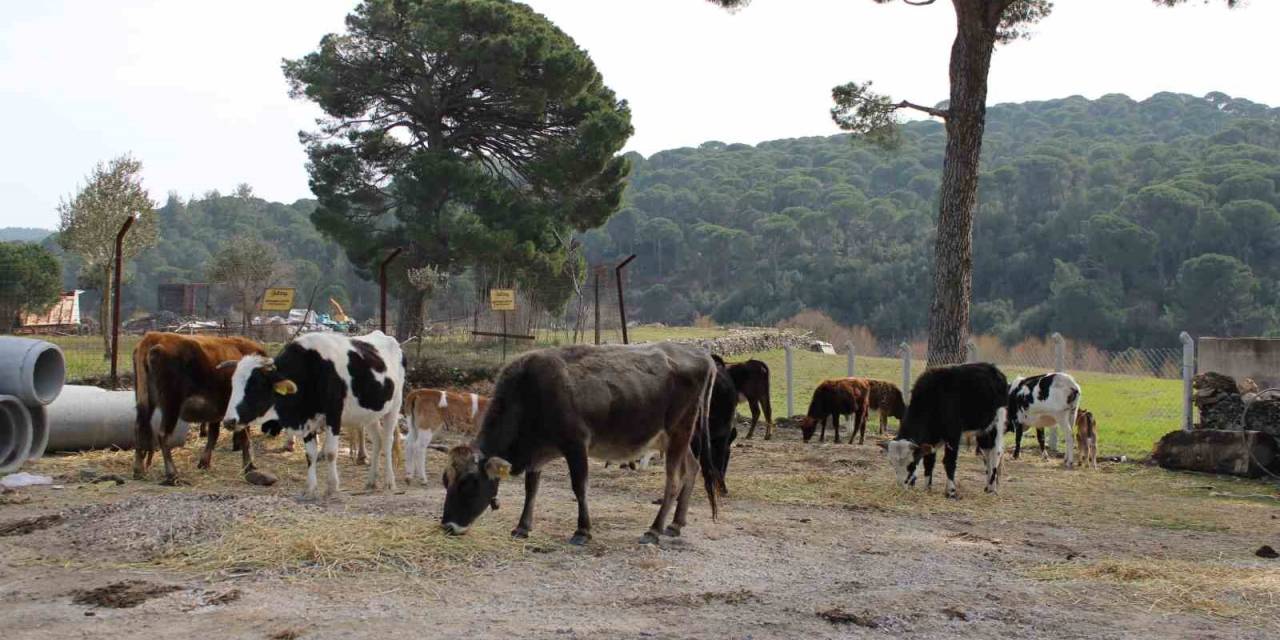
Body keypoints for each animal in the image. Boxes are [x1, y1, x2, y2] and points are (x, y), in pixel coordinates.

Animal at [131, 332, 266, 481]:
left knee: (139, 428)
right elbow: (244, 438)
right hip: (171, 406)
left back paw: (139, 471)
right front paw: (248, 466)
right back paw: (172, 474)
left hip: (145, 403)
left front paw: (204, 463)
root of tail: (154, 337)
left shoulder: (217, 413)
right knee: (163, 434)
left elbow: (214, 435)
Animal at [221, 330, 404, 499]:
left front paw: (332, 487)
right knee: (378, 440)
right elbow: (310, 454)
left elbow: (330, 452)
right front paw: (309, 488)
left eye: (255, 386)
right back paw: (371, 481)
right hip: (370, 414)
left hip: (394, 407)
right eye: (233, 385)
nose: (229, 421)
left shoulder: (334, 416)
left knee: (387, 441)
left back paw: (389, 481)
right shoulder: (307, 420)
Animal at [440, 343, 721, 547]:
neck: (529, 393)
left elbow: (579, 487)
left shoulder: (576, 445)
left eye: (469, 482)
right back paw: (676, 524)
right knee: (692, 469)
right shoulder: (536, 454)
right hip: (675, 438)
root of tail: (701, 354)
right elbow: (532, 489)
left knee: (673, 481)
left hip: (679, 431)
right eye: (446, 480)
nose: (448, 526)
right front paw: (522, 527)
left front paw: (582, 531)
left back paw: (654, 529)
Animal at [880, 363, 1008, 496]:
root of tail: (992, 368)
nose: (901, 486)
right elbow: (929, 462)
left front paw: (951, 491)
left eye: (912, 464)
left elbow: (949, 462)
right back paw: (988, 487)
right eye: (892, 464)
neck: (934, 398)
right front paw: (927, 488)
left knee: (996, 453)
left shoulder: (953, 436)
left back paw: (992, 488)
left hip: (996, 424)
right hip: (982, 431)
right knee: (986, 454)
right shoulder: (931, 439)